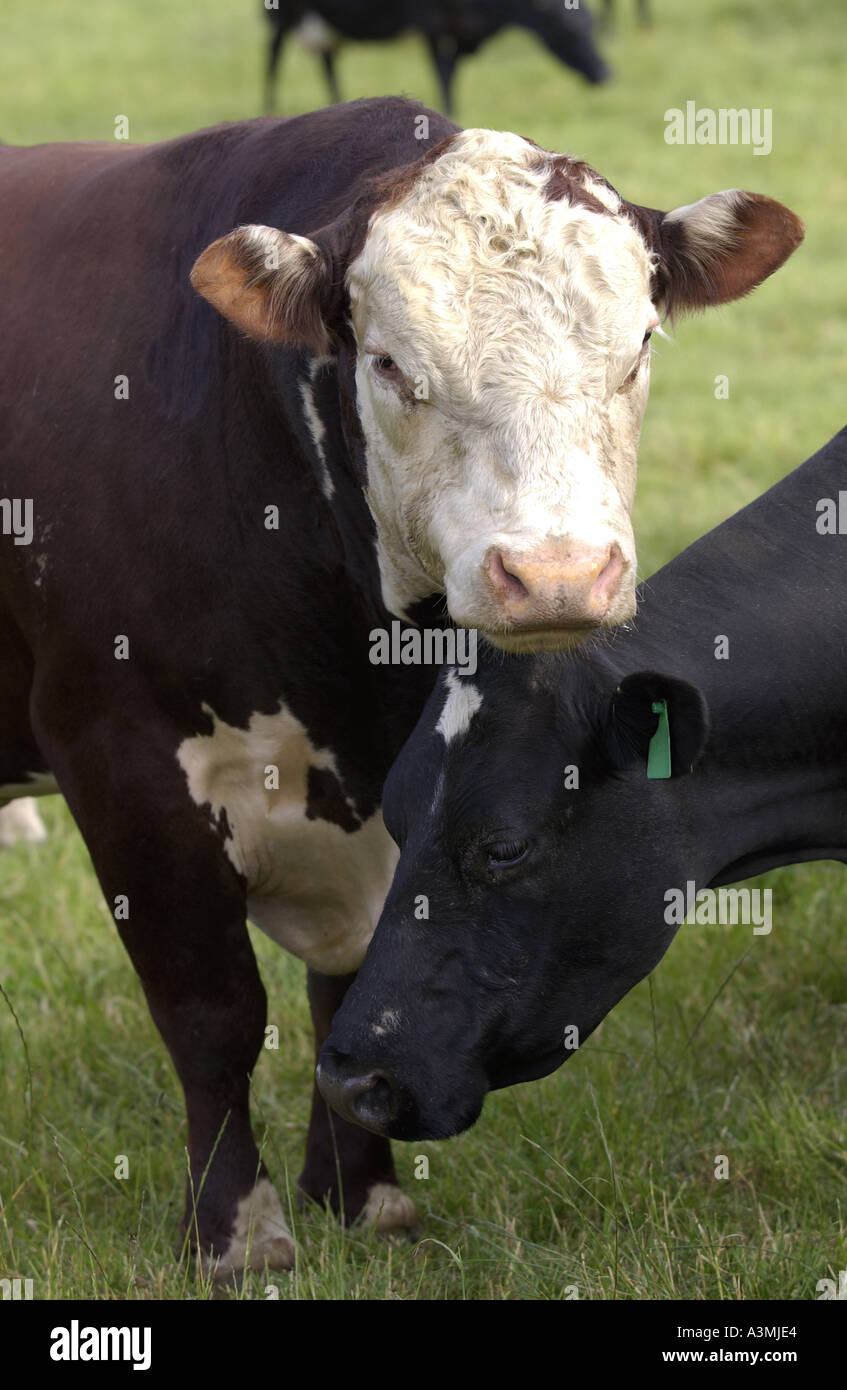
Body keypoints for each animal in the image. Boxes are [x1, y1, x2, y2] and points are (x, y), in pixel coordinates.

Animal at [262, 0, 606, 115]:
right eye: (569, 31)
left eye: (592, 27)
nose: (606, 74)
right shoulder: (431, 22)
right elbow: (443, 71)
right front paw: (450, 108)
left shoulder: (458, 28)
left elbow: (452, 70)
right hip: (285, 15)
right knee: (273, 55)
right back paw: (270, 104)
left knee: (328, 60)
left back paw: (336, 99)